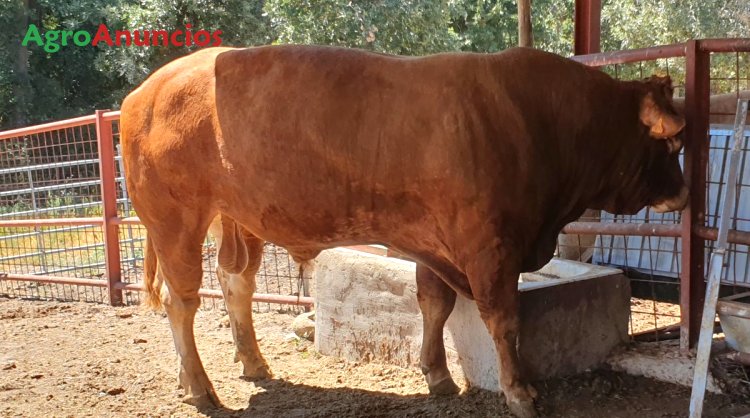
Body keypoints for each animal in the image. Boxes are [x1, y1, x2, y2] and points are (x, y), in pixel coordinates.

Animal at [120, 45, 688, 418]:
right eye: (672, 144)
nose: (683, 193)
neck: (536, 120)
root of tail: (144, 91)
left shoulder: (434, 242)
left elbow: (433, 304)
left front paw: (437, 375)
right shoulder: (490, 247)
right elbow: (503, 320)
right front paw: (519, 392)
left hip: (237, 220)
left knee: (235, 284)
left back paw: (250, 364)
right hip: (175, 220)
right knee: (182, 302)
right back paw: (199, 387)